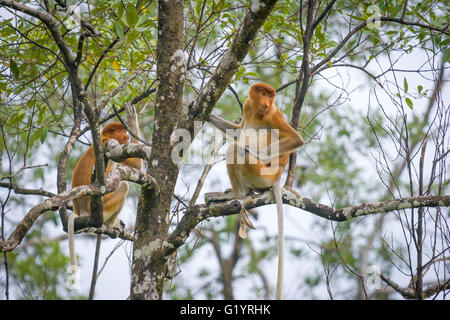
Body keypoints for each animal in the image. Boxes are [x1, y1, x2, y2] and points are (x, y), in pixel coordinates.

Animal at [68, 102, 142, 276]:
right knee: (123, 186)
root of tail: (81, 211)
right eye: (121, 131)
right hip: (104, 206)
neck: (103, 137)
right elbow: (135, 165)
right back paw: (111, 225)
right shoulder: (113, 144)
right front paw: (132, 120)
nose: (126, 135)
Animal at [209, 83, 304, 300]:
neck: (257, 111)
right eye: (263, 93)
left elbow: (296, 139)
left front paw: (252, 150)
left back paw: (236, 194)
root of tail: (276, 179)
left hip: (261, 173)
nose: (267, 103)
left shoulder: (273, 114)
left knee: (235, 149)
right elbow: (237, 130)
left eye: (271, 96)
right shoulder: (247, 105)